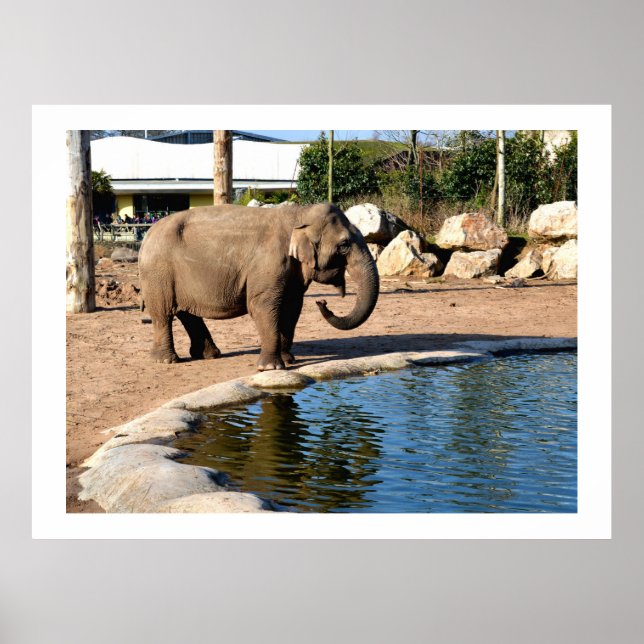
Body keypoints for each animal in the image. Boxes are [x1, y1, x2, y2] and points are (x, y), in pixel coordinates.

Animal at [138, 203, 379, 370]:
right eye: (344, 245)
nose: (323, 301)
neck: (300, 212)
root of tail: (146, 235)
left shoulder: (291, 271)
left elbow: (292, 308)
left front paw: (288, 360)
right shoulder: (268, 263)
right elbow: (262, 306)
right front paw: (271, 367)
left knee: (187, 313)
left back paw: (208, 355)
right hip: (158, 273)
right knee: (163, 313)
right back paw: (166, 361)